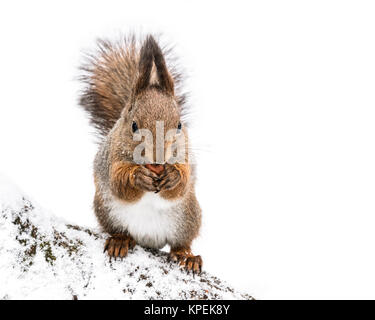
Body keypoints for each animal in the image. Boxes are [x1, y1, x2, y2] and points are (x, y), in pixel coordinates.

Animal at [78, 35, 203, 276]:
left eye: (179, 125)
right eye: (134, 126)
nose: (158, 158)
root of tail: (149, 239)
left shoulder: (186, 158)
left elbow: (182, 184)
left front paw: (173, 176)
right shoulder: (112, 158)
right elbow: (119, 183)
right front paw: (138, 177)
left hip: (187, 218)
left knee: (181, 243)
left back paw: (187, 256)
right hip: (107, 211)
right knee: (119, 229)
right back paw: (120, 241)